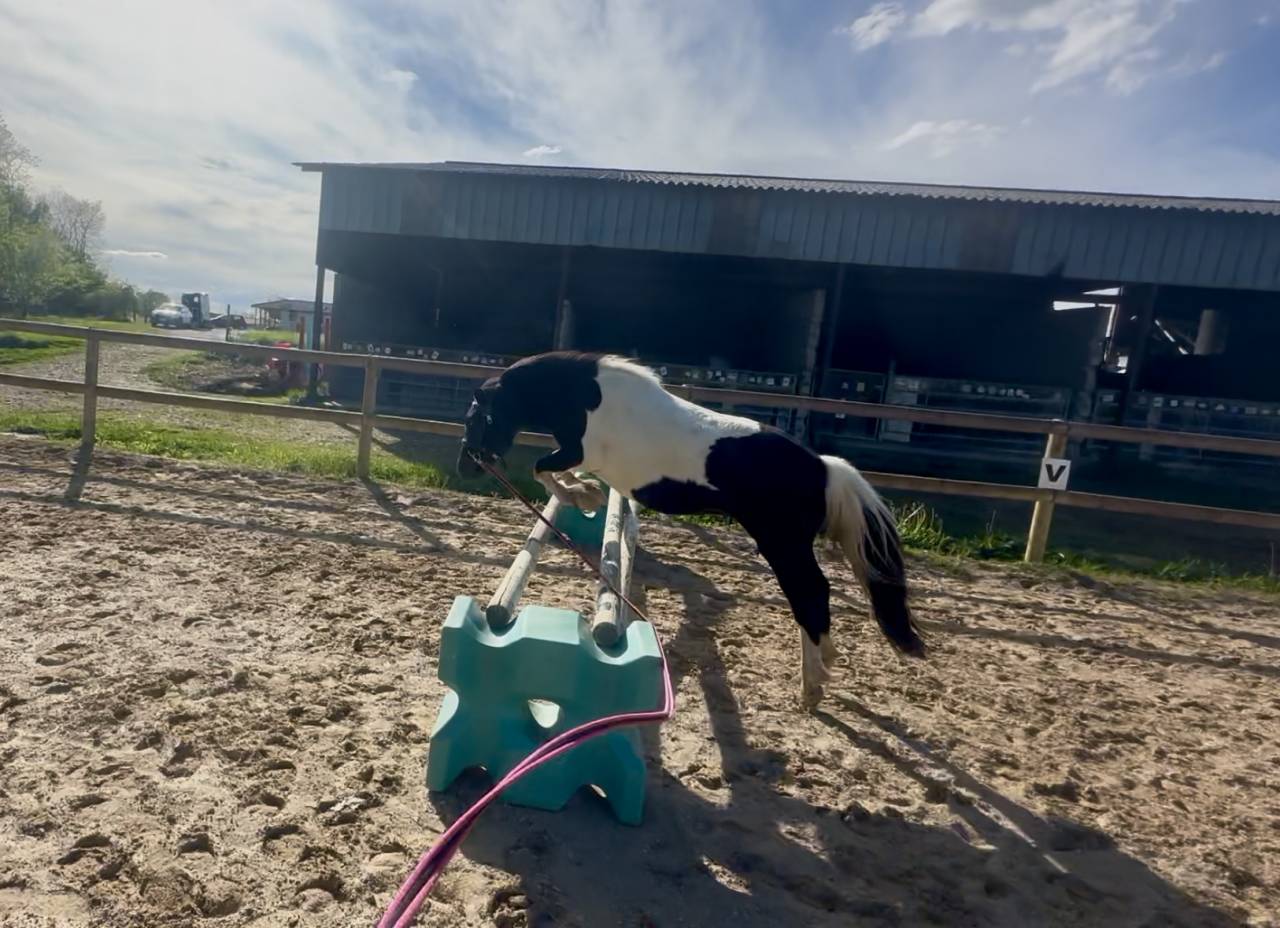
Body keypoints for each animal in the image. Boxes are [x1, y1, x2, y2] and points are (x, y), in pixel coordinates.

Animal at [456, 351, 925, 709]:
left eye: (475, 418)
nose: (467, 466)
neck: (586, 395)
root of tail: (823, 468)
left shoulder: (579, 451)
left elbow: (543, 470)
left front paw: (582, 496)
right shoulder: (581, 456)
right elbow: (555, 473)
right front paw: (586, 494)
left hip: (782, 545)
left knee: (810, 595)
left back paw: (812, 686)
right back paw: (822, 670)